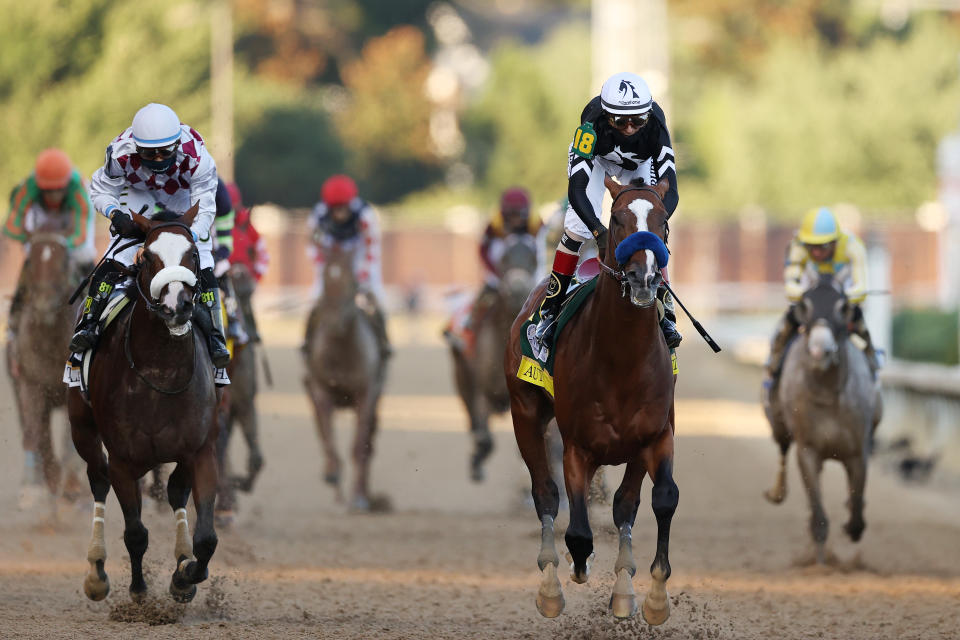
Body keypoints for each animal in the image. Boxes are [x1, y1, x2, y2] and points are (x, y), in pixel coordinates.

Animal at [68, 204, 219, 604]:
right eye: (146, 257)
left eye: (193, 254)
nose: (177, 306)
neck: (161, 372)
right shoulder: (123, 460)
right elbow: (135, 533)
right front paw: (137, 589)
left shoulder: (200, 450)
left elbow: (206, 538)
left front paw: (185, 575)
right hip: (81, 429)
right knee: (98, 480)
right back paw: (97, 570)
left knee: (176, 492)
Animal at [304, 242, 386, 508]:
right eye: (325, 278)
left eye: (352, 280)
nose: (333, 322)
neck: (341, 351)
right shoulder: (320, 390)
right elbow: (329, 439)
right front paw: (333, 475)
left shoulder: (367, 392)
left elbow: (359, 446)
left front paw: (358, 497)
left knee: (368, 443)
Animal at [450, 234, 540, 480]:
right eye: (504, 257)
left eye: (532, 257)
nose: (517, 288)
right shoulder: (483, 392)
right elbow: (485, 439)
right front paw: (477, 461)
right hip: (462, 378)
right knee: (473, 420)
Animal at [502, 178, 676, 624]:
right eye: (617, 220)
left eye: (663, 222)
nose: (644, 278)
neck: (622, 361)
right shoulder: (576, 446)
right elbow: (578, 530)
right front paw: (574, 569)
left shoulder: (656, 435)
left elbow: (656, 500)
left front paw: (651, 597)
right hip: (525, 412)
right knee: (545, 493)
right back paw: (551, 584)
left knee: (622, 504)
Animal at [760, 272, 880, 564]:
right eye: (805, 305)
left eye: (843, 307)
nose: (819, 351)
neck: (827, 393)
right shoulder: (808, 450)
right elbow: (818, 516)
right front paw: (821, 562)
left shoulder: (858, 450)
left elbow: (857, 506)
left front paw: (852, 526)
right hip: (778, 425)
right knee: (782, 449)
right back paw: (777, 491)